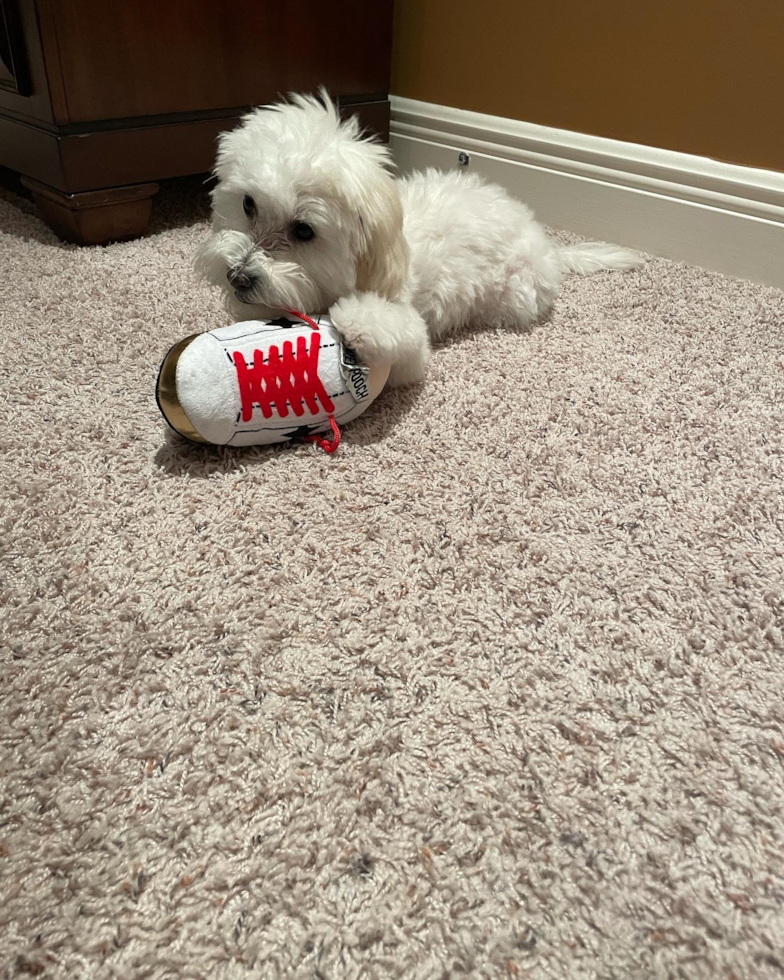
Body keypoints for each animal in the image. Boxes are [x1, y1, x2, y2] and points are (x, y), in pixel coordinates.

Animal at [193, 94, 640, 386]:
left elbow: (403, 344)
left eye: (304, 230)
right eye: (248, 204)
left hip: (516, 296)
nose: (237, 276)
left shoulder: (406, 345)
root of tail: (547, 244)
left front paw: (360, 317)